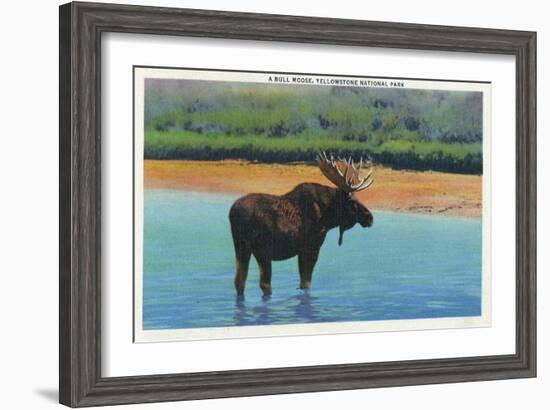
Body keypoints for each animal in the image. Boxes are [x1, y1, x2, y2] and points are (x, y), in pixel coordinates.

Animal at [229, 152, 376, 296]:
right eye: (352, 201)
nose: (370, 218)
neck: (328, 218)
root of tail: (231, 213)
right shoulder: (311, 247)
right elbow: (306, 282)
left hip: (242, 246)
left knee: (240, 281)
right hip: (261, 249)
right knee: (263, 284)